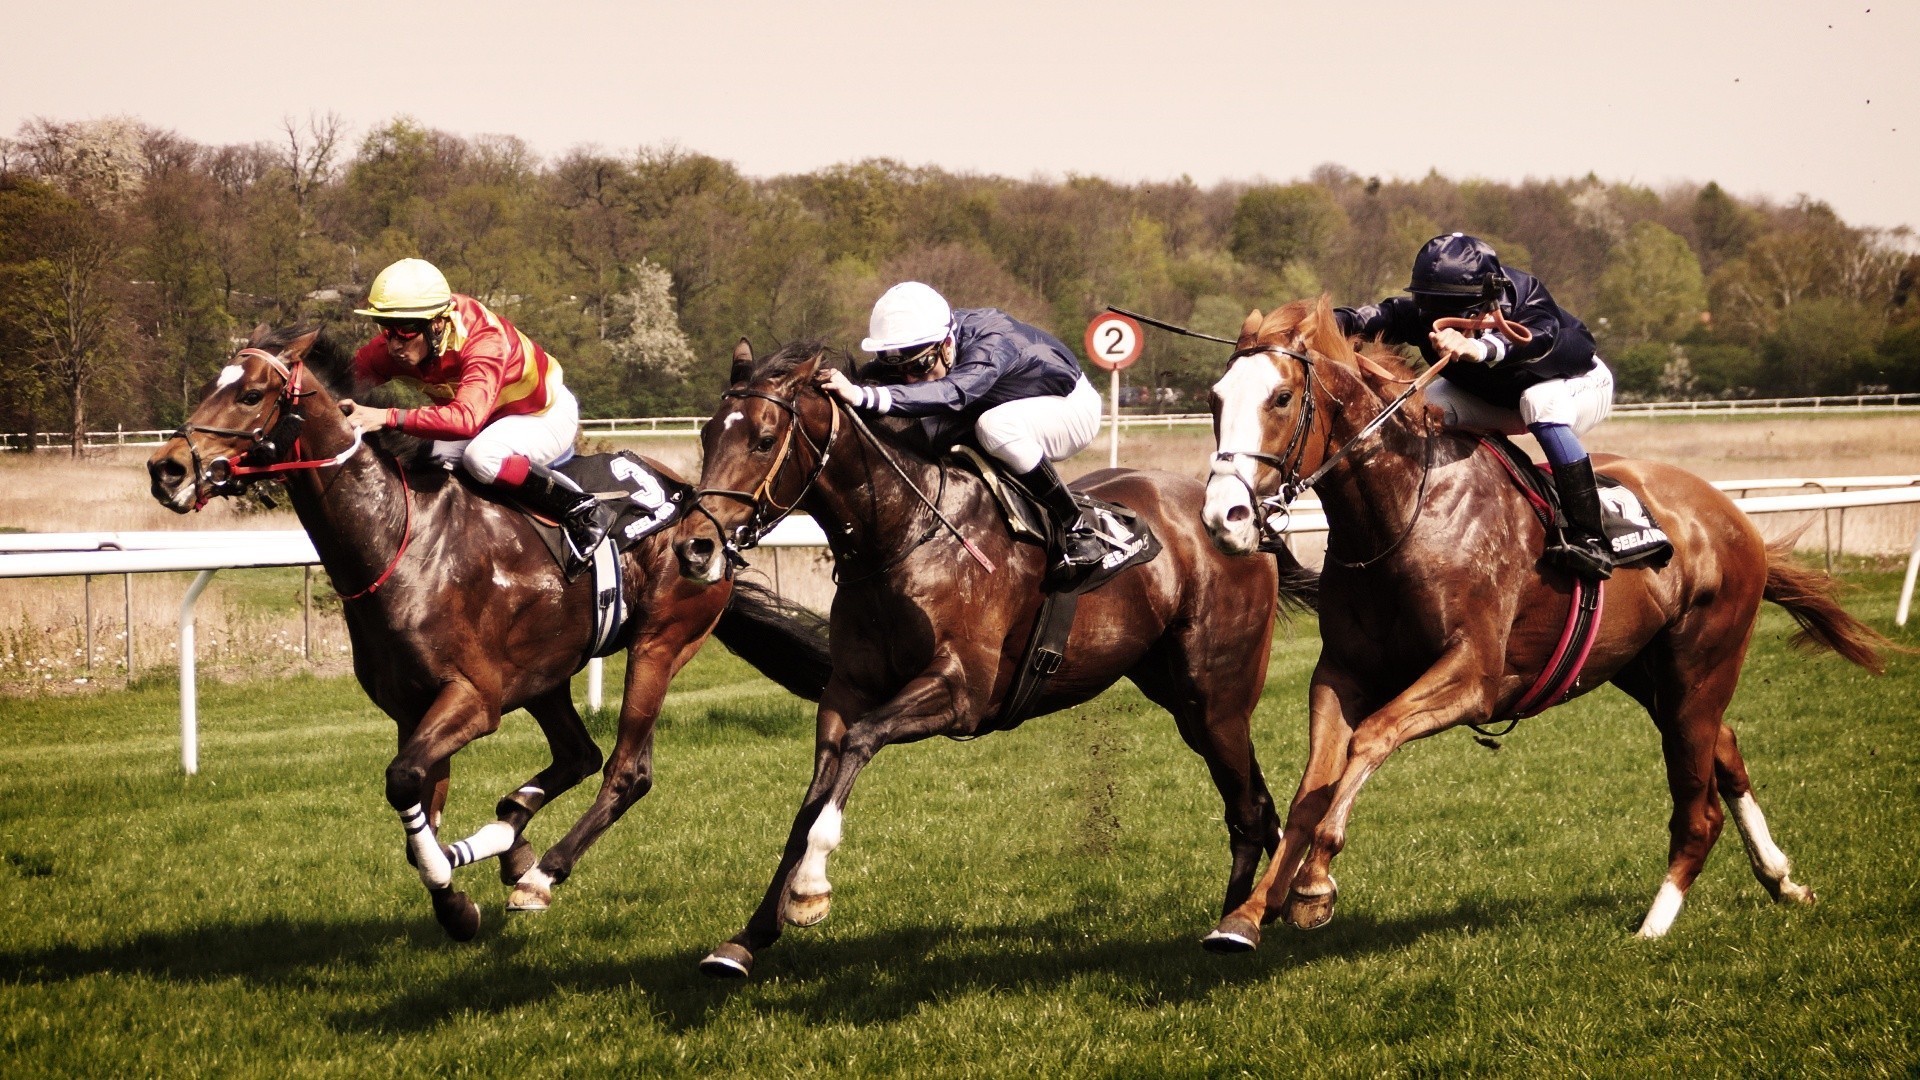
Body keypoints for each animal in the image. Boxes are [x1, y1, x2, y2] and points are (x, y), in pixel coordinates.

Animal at [145, 322, 837, 937]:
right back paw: (511, 839)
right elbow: (416, 810)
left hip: (659, 643)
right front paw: (460, 880)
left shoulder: (472, 699)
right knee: (578, 755)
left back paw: (540, 872)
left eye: (250, 394)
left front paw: (456, 897)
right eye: (210, 384)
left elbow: (402, 780)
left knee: (625, 770)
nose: (166, 468)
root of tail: (699, 508)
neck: (397, 539)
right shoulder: (413, 709)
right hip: (543, 673)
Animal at [675, 338, 1320, 976]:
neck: (904, 537)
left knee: (1249, 809)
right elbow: (811, 800)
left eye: (763, 439)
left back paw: (1238, 926)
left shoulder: (961, 692)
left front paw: (811, 887)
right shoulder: (846, 691)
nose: (694, 547)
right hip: (1182, 698)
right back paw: (1268, 908)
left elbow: (861, 741)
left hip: (1217, 696)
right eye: (706, 436)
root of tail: (1244, 522)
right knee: (1256, 804)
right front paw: (748, 937)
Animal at [1198, 297, 1889, 945]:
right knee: (1727, 749)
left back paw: (1655, 924)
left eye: (1281, 397)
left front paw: (1314, 884)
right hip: (1647, 671)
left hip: (1702, 665)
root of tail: (1731, 514)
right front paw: (1251, 913)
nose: (1224, 517)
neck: (1404, 513)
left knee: (1698, 809)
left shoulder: (1472, 676)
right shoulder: (1341, 673)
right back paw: (1782, 879)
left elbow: (1372, 737)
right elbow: (1312, 786)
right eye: (1214, 399)